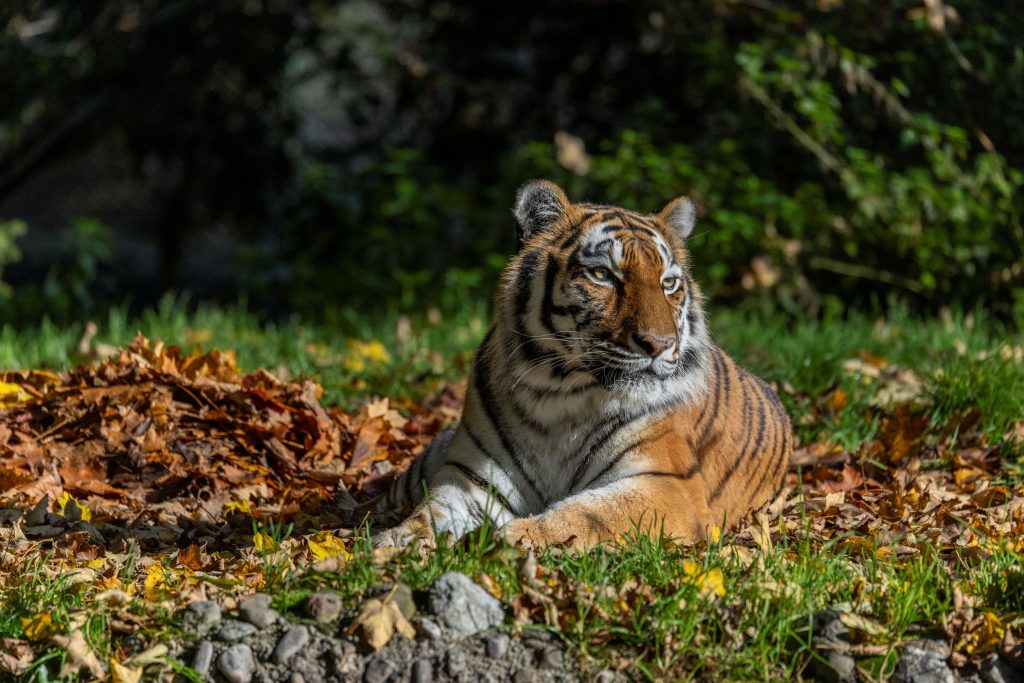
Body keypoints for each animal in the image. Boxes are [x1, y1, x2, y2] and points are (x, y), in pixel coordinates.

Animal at [374, 180, 792, 549]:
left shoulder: (667, 484)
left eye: (668, 283)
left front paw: (516, 537)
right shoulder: (473, 477)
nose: (659, 344)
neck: (558, 394)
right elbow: (432, 511)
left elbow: (590, 513)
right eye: (602, 274)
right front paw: (394, 541)